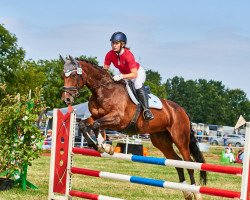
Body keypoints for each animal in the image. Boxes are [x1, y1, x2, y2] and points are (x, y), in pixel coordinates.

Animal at [60, 55, 207, 200]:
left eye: (73, 75)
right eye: (63, 75)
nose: (66, 99)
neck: (103, 90)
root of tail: (182, 111)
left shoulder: (118, 119)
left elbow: (96, 125)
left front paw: (104, 146)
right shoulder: (96, 116)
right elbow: (84, 125)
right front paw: (99, 146)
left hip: (180, 138)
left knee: (189, 163)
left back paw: (196, 193)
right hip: (161, 141)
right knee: (177, 162)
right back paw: (187, 193)